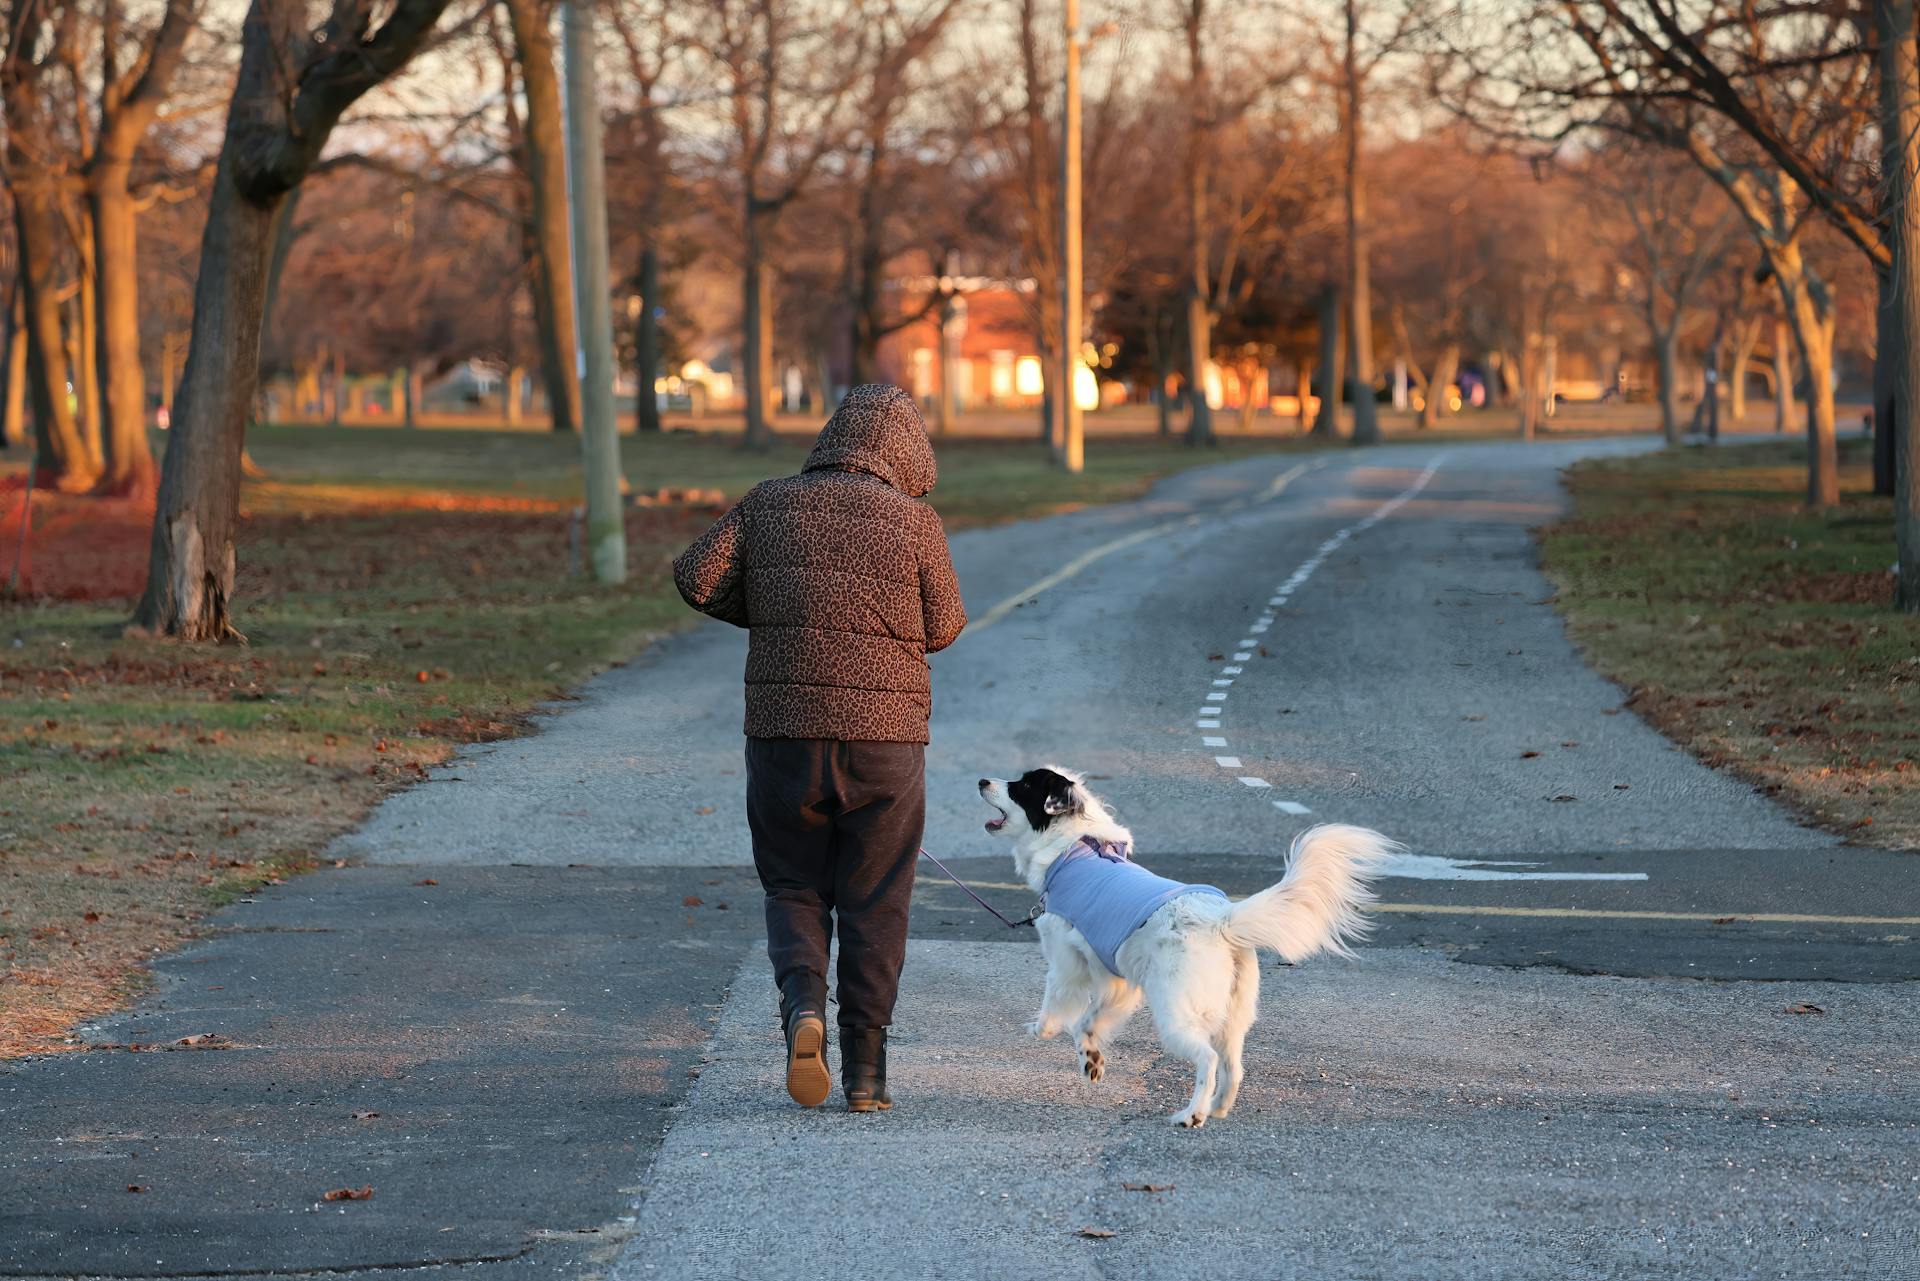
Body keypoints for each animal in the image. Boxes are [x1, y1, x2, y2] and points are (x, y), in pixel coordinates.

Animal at [975, 768, 1397, 1129]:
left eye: (1023, 786)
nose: (981, 781)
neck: (1075, 846)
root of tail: (1221, 919)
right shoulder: (1120, 981)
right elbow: (1088, 1022)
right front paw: (1091, 1059)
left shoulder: (1067, 962)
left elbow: (1059, 1002)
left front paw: (1041, 1029)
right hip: (1233, 1018)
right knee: (1234, 1067)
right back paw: (1218, 1108)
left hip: (1176, 1015)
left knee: (1207, 1061)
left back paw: (1192, 1115)